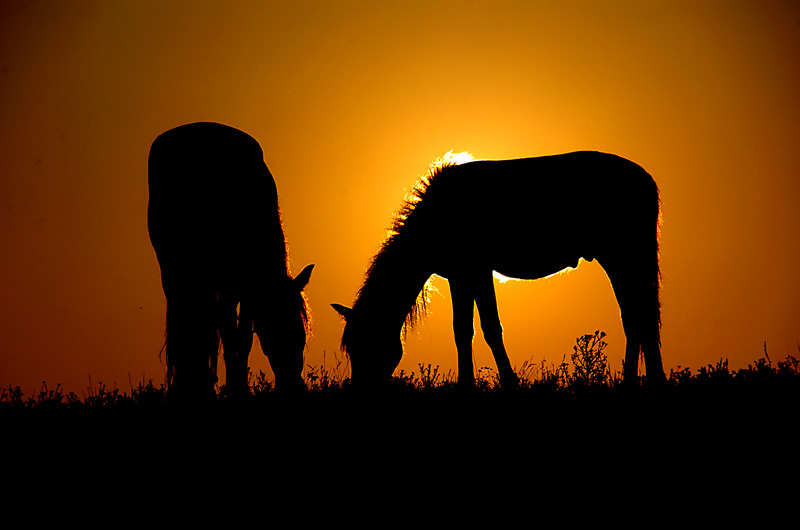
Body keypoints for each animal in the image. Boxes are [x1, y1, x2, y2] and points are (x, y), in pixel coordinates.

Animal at [147, 121, 312, 398]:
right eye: (272, 330)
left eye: (301, 332)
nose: (292, 387)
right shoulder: (227, 283)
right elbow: (225, 331)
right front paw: (234, 388)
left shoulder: (244, 288)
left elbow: (241, 337)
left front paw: (237, 387)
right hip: (173, 269)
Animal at [334, 151, 664, 386]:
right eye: (350, 347)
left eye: (366, 343)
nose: (358, 389)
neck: (435, 219)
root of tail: (646, 179)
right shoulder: (462, 276)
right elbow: (464, 330)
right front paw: (469, 385)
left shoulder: (476, 271)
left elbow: (487, 328)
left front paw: (502, 383)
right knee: (636, 316)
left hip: (622, 255)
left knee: (640, 316)